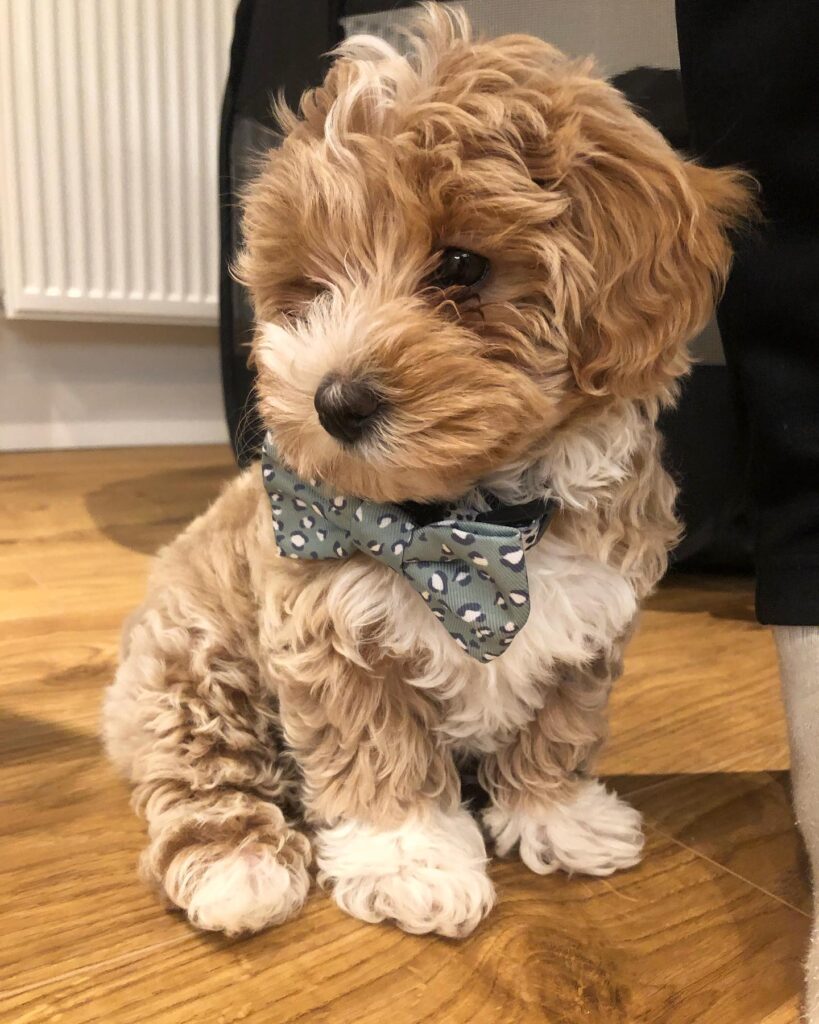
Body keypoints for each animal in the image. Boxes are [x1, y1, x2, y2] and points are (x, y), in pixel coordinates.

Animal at [103, 6, 753, 938]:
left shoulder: (587, 624)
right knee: (200, 764)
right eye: (310, 287)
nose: (335, 401)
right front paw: (409, 861)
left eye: (460, 265)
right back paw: (237, 864)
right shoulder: (328, 629)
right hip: (191, 662)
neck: (466, 525)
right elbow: (377, 751)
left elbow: (556, 725)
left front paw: (557, 816)